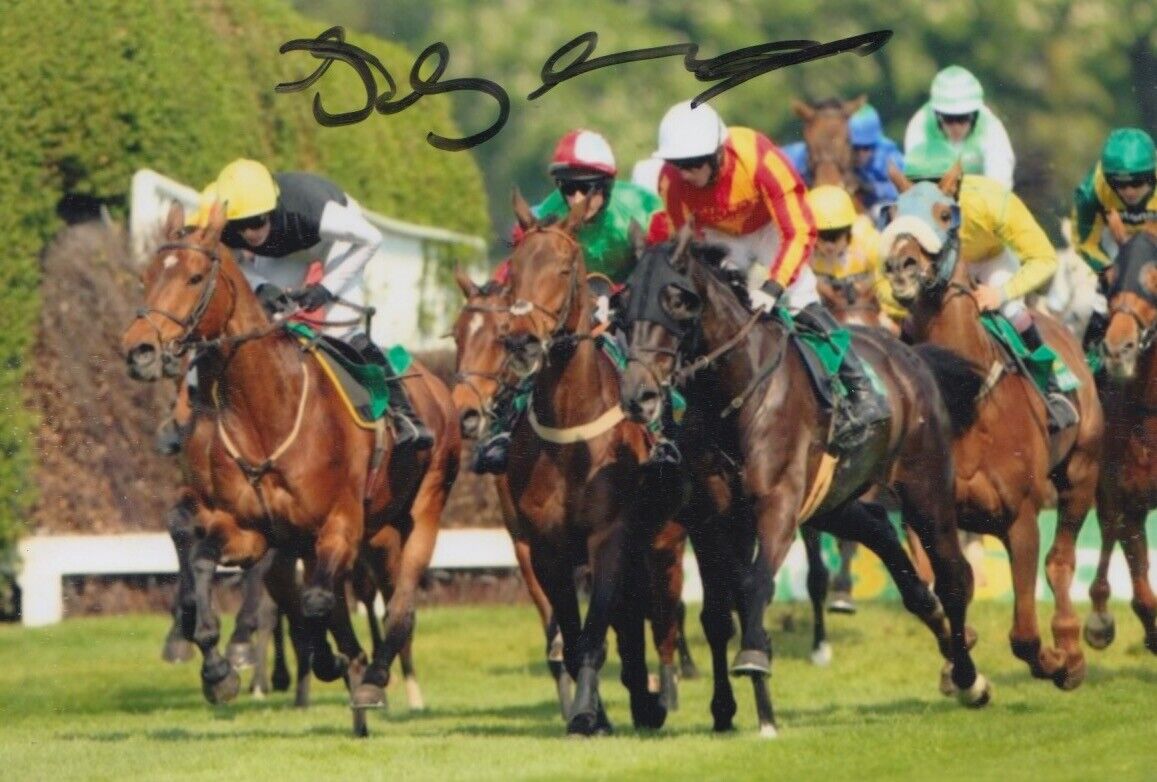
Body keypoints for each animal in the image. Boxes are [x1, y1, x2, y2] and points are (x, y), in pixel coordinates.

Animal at [119, 201, 458, 731]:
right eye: (147, 276)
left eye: (194, 276)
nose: (139, 350)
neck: (265, 411)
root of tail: (437, 384)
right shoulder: (250, 527)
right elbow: (205, 563)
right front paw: (217, 668)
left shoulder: (340, 524)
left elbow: (317, 603)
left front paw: (328, 664)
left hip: (419, 514)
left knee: (399, 607)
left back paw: (374, 678)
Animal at [620, 232, 990, 740]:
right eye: (623, 306)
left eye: (675, 300)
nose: (637, 396)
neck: (734, 397)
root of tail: (910, 356)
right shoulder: (710, 519)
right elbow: (718, 615)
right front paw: (728, 709)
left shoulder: (777, 504)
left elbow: (756, 585)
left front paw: (756, 665)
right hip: (835, 502)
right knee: (886, 537)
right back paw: (947, 641)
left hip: (925, 486)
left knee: (953, 575)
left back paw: (970, 678)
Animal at [879, 167, 1106, 689]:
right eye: (891, 211)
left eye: (945, 213)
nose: (900, 266)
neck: (965, 403)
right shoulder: (924, 513)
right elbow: (941, 586)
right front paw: (957, 659)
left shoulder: (1019, 515)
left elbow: (1023, 632)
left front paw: (1052, 660)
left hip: (1081, 472)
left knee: (1060, 562)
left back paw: (1070, 651)